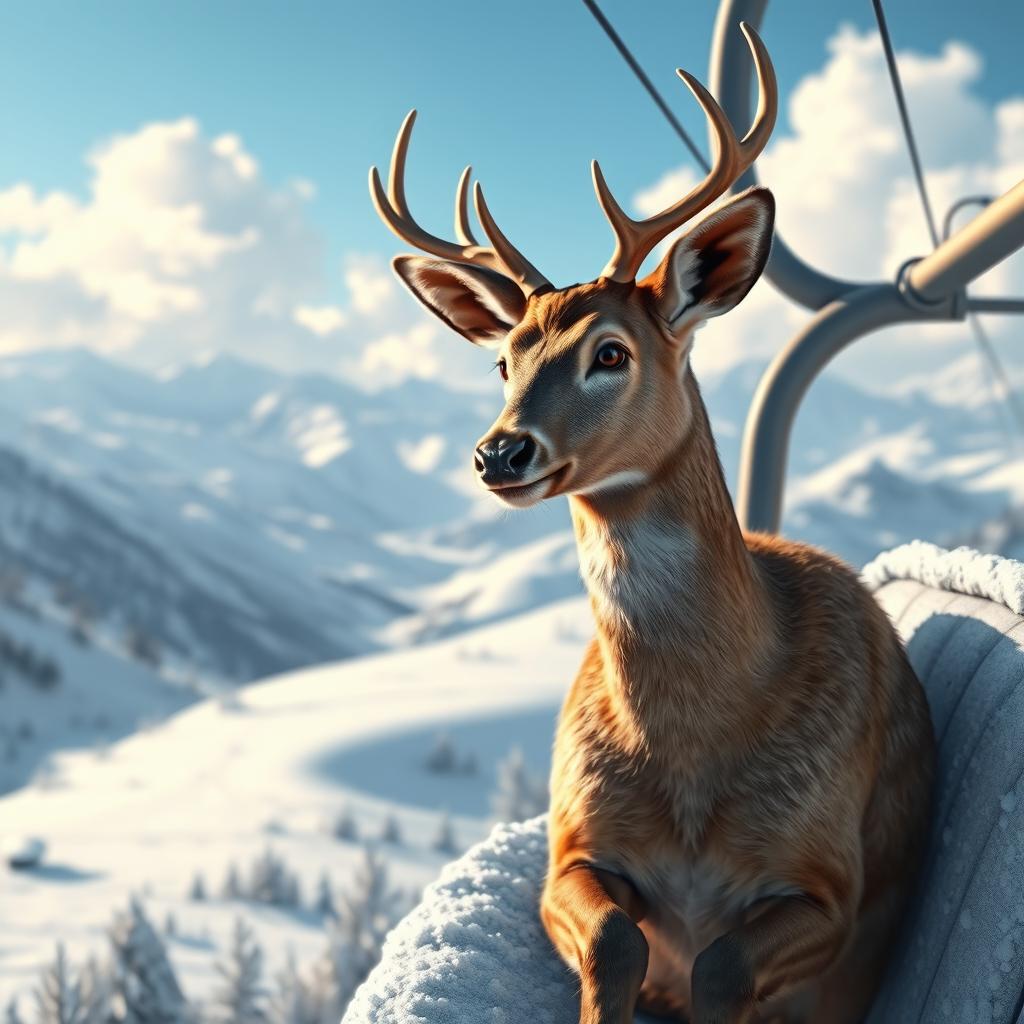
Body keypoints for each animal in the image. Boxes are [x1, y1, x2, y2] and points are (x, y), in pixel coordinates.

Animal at [370, 24, 934, 1024]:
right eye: (503, 360)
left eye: (611, 353)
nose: (499, 453)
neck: (697, 745)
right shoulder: (573, 845)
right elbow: (616, 939)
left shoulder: (828, 879)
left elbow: (721, 964)